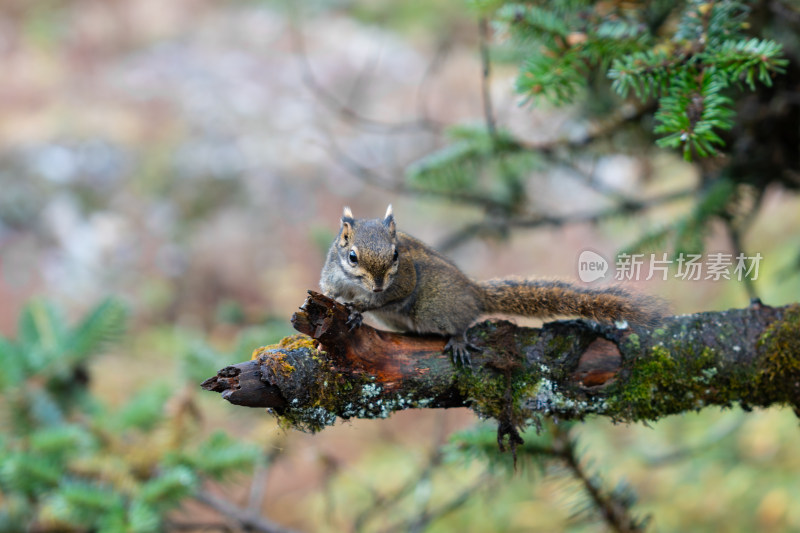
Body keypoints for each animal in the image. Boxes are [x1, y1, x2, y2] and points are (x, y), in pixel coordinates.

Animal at [318, 204, 664, 362]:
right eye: (352, 256)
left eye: (395, 256)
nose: (377, 285)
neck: (357, 285)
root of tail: (474, 293)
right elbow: (330, 292)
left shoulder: (403, 282)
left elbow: (387, 299)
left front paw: (359, 309)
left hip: (434, 308)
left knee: (459, 323)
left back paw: (458, 339)